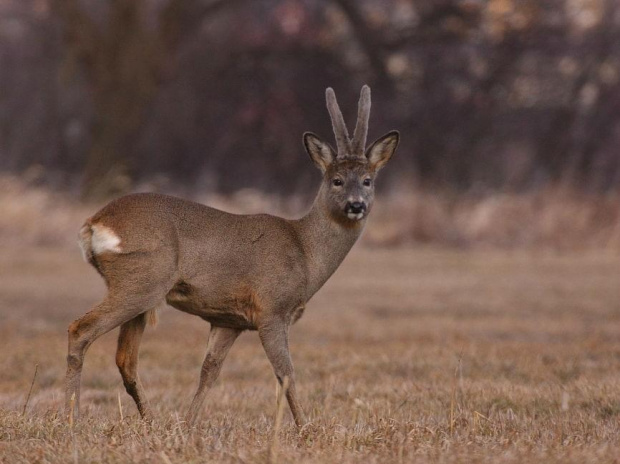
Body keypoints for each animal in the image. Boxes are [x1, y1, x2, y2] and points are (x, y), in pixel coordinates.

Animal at [66, 85, 398, 426]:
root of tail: (94, 223)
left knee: (125, 360)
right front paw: (306, 427)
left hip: (143, 293)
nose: (356, 205)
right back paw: (71, 418)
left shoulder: (229, 320)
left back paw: (151, 421)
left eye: (368, 180)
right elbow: (286, 373)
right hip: (141, 281)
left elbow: (209, 371)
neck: (305, 253)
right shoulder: (272, 309)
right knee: (80, 330)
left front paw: (188, 424)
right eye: (337, 180)